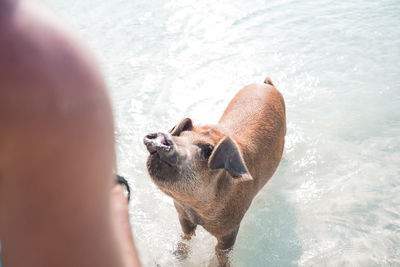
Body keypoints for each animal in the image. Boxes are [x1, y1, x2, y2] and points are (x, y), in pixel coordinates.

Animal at [143, 78, 284, 266]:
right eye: (180, 135)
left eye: (207, 150)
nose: (164, 137)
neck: (197, 211)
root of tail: (266, 84)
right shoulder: (182, 214)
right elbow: (186, 235)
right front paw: (176, 256)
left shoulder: (231, 228)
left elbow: (221, 252)